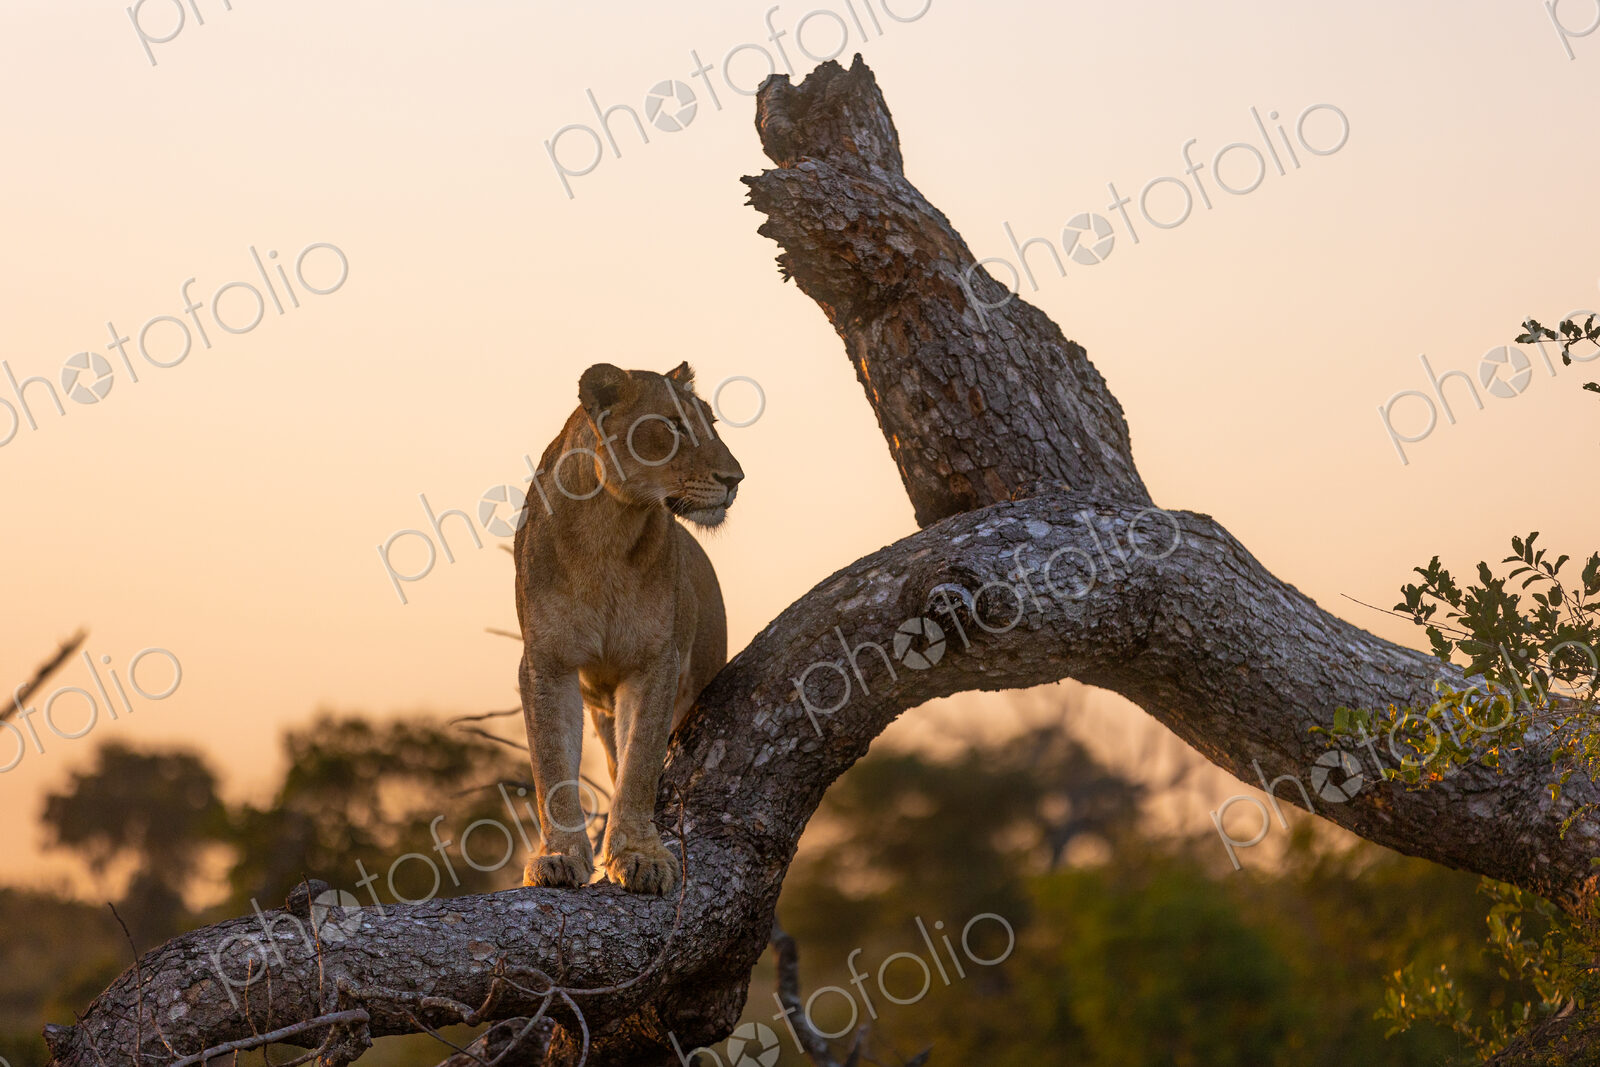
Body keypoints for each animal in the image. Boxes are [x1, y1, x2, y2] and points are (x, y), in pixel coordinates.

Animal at [514, 361, 743, 895]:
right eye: (673, 426)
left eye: (711, 424)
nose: (736, 478)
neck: (607, 529)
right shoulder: (545, 663)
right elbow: (551, 764)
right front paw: (558, 857)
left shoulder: (656, 662)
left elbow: (639, 763)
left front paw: (640, 856)